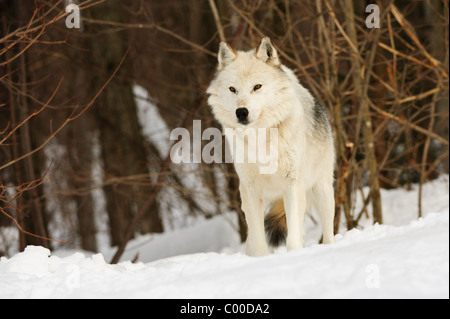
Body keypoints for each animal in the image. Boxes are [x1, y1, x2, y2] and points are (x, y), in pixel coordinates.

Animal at [206, 37, 336, 258]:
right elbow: (258, 241)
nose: (241, 112)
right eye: (232, 89)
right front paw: (261, 259)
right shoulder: (250, 190)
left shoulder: (293, 184)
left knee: (328, 231)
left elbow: (294, 235)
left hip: (321, 191)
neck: (261, 137)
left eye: (257, 87)